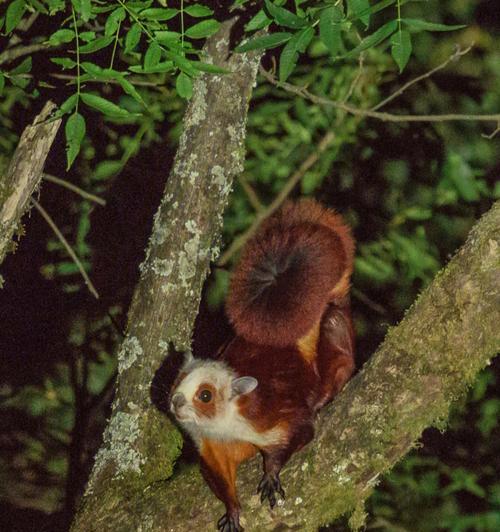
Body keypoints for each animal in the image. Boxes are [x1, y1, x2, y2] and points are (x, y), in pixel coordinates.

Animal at [170, 201, 354, 532]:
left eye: (205, 395)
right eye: (177, 380)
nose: (175, 401)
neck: (224, 425)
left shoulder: (270, 415)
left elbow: (301, 432)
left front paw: (270, 474)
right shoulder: (211, 450)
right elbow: (220, 480)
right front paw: (232, 510)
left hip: (333, 329)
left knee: (340, 348)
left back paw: (324, 395)